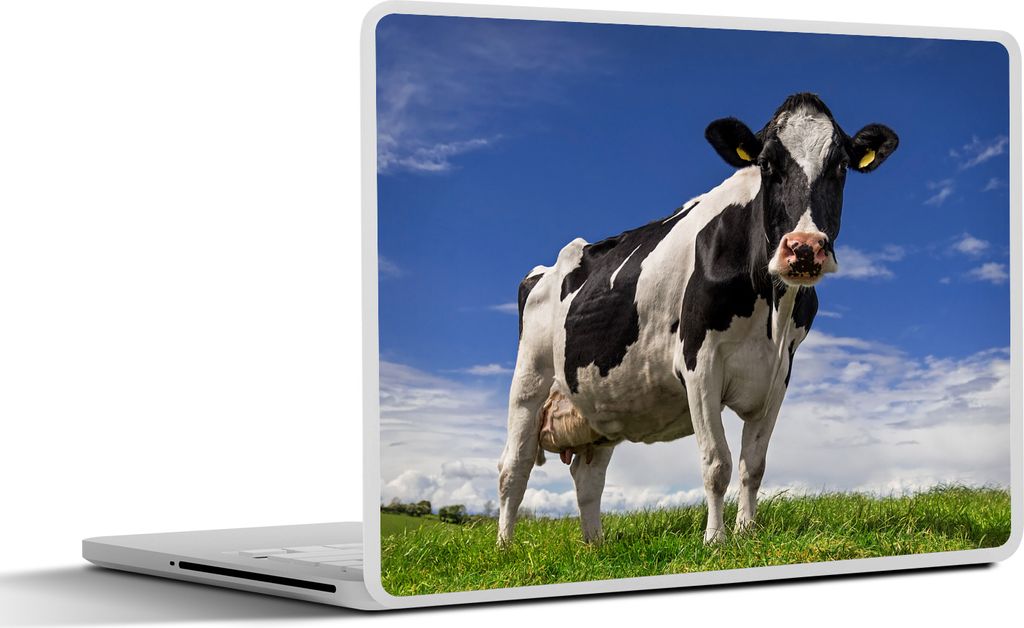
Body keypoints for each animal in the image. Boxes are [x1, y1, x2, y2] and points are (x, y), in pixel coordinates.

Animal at [497, 93, 898, 546]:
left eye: (840, 166)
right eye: (766, 164)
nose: (804, 248)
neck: (772, 311)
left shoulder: (779, 372)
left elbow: (752, 464)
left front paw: (747, 532)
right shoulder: (699, 361)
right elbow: (717, 462)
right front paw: (715, 540)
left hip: (599, 405)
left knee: (588, 477)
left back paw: (595, 545)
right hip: (529, 379)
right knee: (514, 468)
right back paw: (505, 546)